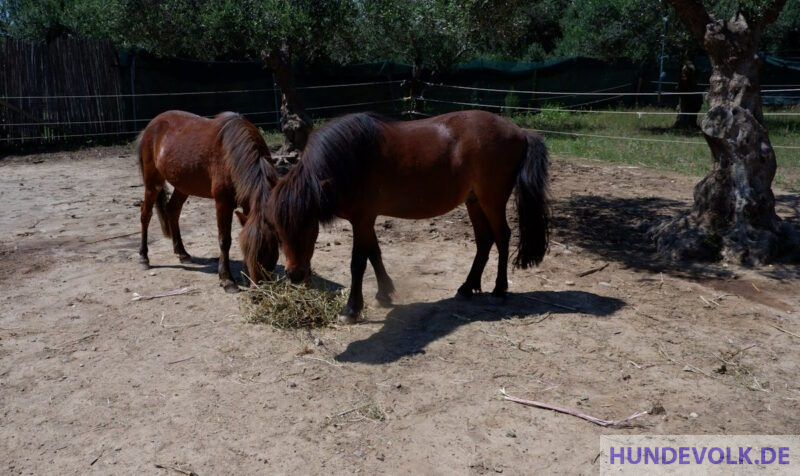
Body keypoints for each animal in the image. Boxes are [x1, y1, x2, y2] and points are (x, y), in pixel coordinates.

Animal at [140, 110, 282, 292]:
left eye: (273, 248)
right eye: (248, 249)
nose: (259, 287)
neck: (233, 155)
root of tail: (153, 124)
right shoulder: (223, 202)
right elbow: (224, 239)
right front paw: (227, 279)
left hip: (183, 186)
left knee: (172, 210)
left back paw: (182, 253)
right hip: (153, 183)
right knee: (146, 214)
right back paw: (144, 257)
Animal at [268, 109, 552, 322]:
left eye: (308, 225)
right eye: (277, 229)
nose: (295, 275)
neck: (349, 160)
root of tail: (520, 132)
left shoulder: (361, 219)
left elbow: (358, 262)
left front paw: (351, 309)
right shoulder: (366, 220)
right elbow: (375, 253)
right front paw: (384, 293)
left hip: (491, 200)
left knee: (502, 237)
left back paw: (499, 289)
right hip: (474, 202)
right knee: (484, 240)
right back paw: (467, 287)